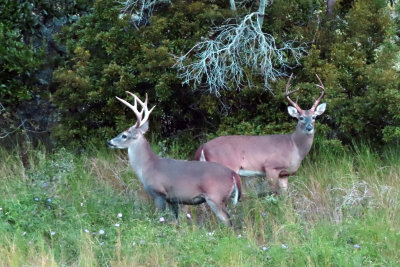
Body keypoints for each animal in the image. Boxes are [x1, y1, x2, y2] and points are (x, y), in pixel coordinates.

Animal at [106, 91, 242, 226]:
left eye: (124, 135)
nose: (109, 142)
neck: (147, 166)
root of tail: (233, 174)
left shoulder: (159, 194)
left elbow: (160, 219)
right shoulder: (172, 199)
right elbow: (176, 220)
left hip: (215, 197)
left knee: (228, 221)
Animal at [195, 75, 326, 195]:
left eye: (314, 117)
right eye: (301, 118)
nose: (309, 128)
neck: (294, 146)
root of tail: (203, 146)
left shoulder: (284, 174)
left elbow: (285, 195)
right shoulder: (271, 167)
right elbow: (274, 192)